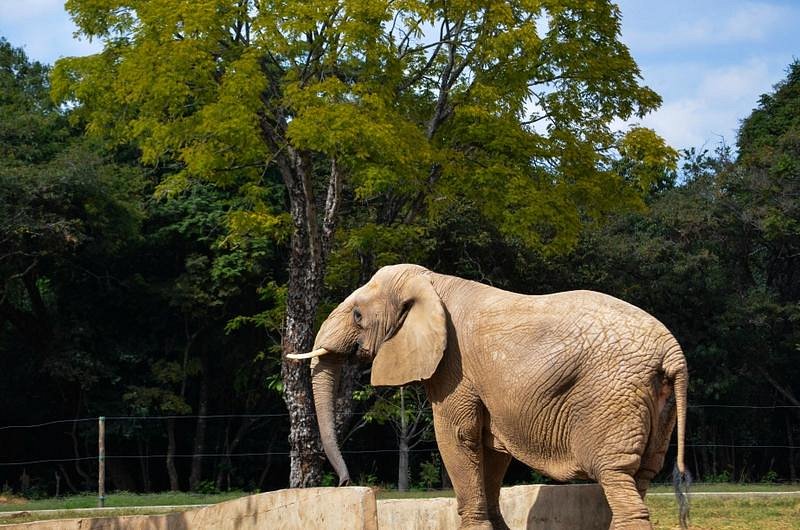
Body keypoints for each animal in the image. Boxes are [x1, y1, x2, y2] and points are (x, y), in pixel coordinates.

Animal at [288, 264, 689, 530]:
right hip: (655, 403)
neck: (431, 280)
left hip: (611, 397)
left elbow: (457, 437)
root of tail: (672, 352)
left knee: (615, 475)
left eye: (358, 315)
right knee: (640, 476)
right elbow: (490, 447)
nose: (344, 482)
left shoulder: (455, 368)